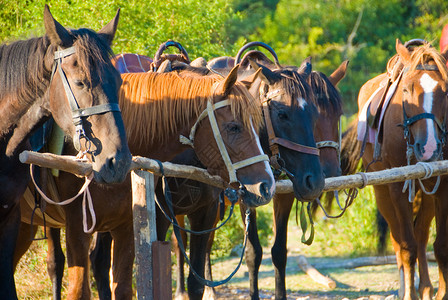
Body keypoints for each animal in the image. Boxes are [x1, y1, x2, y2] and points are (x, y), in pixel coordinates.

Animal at [16, 65, 276, 298]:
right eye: (234, 127)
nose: (267, 186)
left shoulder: (131, 225)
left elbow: (129, 286)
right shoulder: (80, 227)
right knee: (56, 265)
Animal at [346, 39, 448, 300]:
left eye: (445, 91)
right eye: (407, 90)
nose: (429, 146)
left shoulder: (444, 187)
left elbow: (440, 245)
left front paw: (440, 293)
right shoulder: (397, 188)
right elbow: (406, 247)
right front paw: (408, 293)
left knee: (421, 236)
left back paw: (425, 288)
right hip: (383, 193)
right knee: (398, 240)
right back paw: (407, 288)